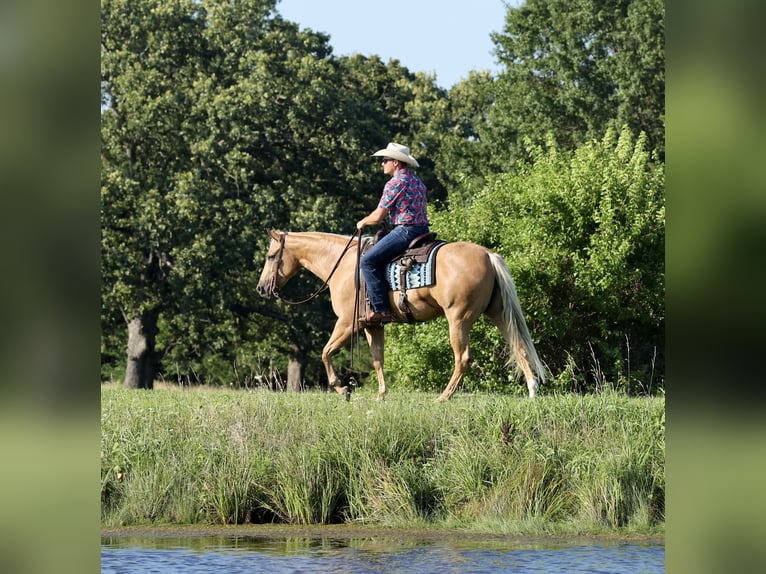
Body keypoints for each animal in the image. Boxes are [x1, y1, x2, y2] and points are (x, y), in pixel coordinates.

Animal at [256, 230, 545, 401]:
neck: (345, 265)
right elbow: (377, 360)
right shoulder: (372, 325)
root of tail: (486, 253)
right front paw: (381, 395)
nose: (261, 288)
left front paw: (342, 388)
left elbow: (326, 352)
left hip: (458, 319)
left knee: (462, 358)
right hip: (497, 313)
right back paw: (532, 389)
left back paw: (444, 397)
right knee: (518, 345)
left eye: (270, 256)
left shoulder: (347, 323)